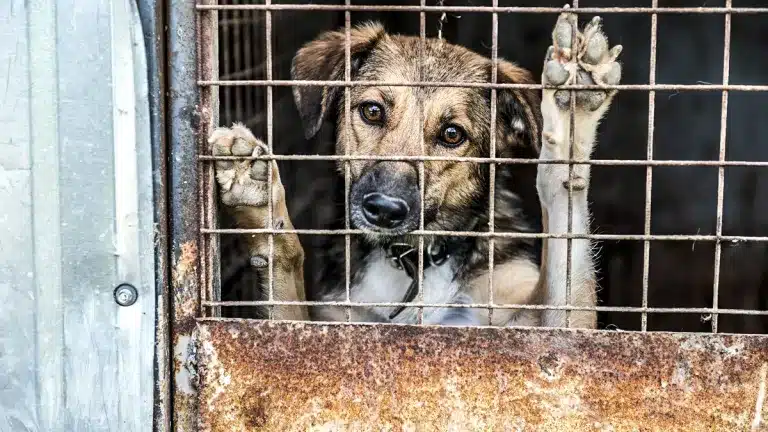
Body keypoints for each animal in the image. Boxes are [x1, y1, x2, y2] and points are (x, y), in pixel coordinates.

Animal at [209, 9, 623, 328]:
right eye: (372, 111)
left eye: (452, 134)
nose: (384, 210)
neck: (416, 260)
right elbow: (286, 283)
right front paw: (260, 203)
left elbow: (564, 213)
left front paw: (572, 106)